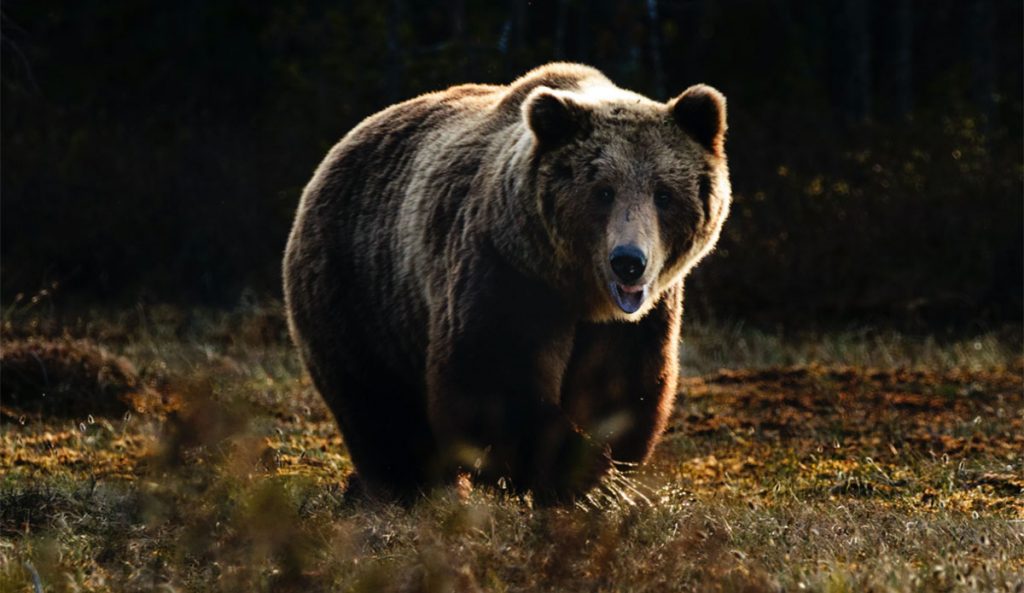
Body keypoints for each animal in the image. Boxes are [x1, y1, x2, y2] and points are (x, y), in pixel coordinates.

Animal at [282, 62, 729, 503]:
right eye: (603, 191)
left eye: (664, 194)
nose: (628, 263)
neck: (578, 290)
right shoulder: (506, 272)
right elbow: (493, 380)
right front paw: (571, 472)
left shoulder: (638, 318)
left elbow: (621, 386)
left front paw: (600, 474)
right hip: (359, 288)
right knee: (378, 403)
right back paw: (407, 487)